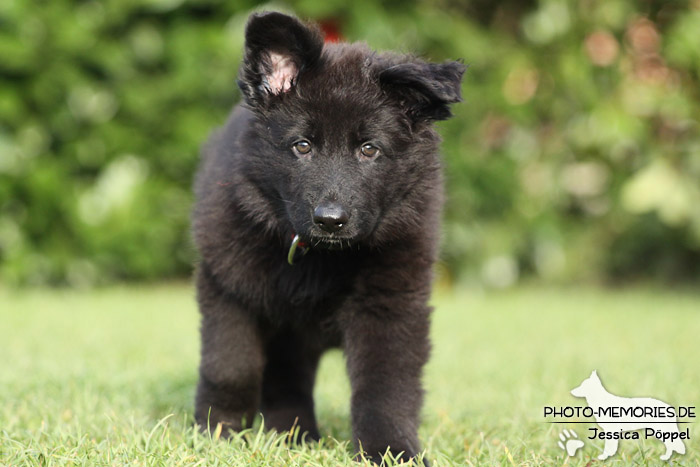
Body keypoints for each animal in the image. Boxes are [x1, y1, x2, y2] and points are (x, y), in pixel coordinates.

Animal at [193, 11, 464, 464]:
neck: (322, 256)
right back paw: (293, 435)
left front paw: (391, 451)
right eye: (302, 146)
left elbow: (385, 388)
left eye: (369, 149)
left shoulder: (390, 305)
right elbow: (230, 365)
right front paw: (218, 433)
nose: (330, 220)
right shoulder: (229, 289)